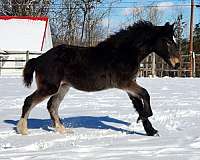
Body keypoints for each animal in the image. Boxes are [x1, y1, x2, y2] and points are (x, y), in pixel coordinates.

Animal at [16, 21, 180, 136]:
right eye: (168, 41)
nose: (177, 64)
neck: (124, 53)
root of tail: (39, 59)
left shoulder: (130, 85)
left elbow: (139, 104)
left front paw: (151, 131)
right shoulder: (124, 83)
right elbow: (146, 94)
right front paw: (144, 120)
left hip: (63, 87)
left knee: (52, 106)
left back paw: (63, 130)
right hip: (50, 87)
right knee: (29, 101)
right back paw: (23, 130)